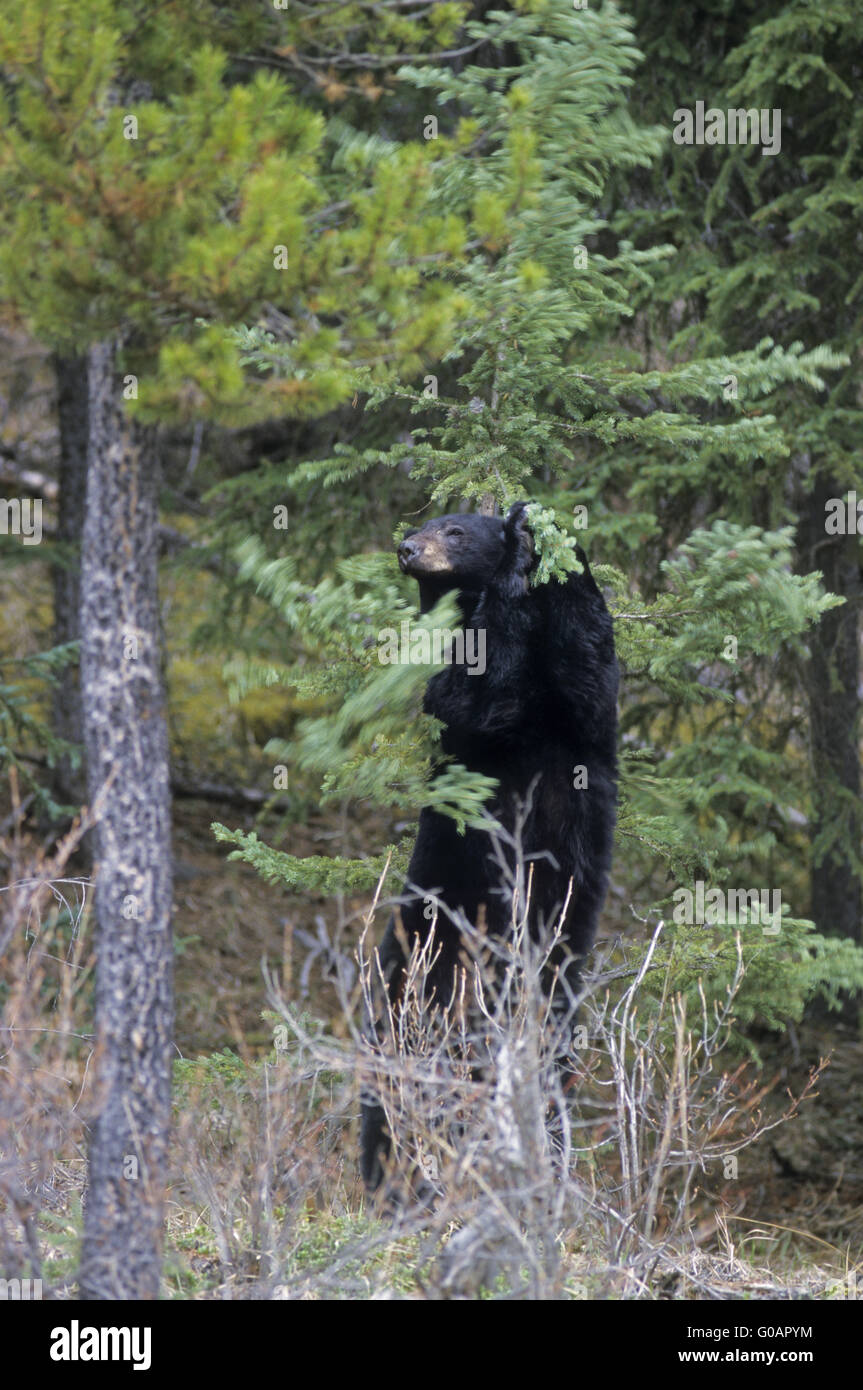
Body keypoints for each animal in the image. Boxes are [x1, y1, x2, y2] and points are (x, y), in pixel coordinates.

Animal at [360, 501, 619, 1193]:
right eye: (427, 524)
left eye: (454, 531)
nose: (407, 548)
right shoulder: (460, 687)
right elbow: (472, 690)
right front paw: (514, 564)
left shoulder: (581, 720)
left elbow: (591, 664)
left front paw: (545, 540)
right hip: (421, 975)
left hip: (555, 982)